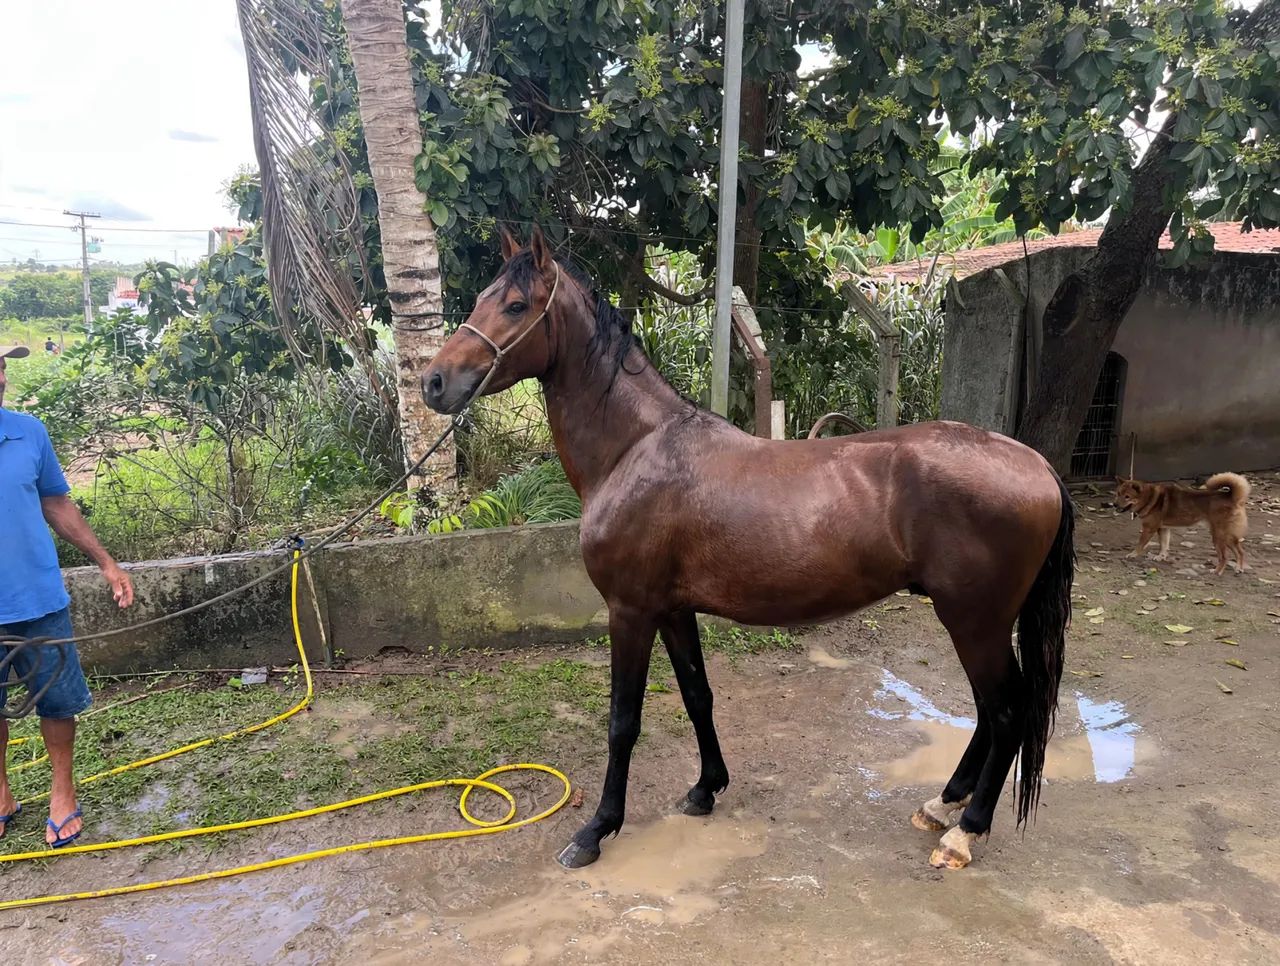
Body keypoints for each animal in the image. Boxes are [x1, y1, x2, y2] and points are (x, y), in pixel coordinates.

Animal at [423, 228, 1074, 872]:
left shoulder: (630, 611)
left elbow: (622, 722)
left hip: (974, 620)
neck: (636, 447)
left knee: (1007, 711)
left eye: (515, 305)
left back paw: (965, 830)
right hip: (977, 621)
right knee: (990, 711)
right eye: (482, 296)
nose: (434, 382)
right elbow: (697, 696)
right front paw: (706, 787)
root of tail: (1037, 464)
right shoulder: (673, 609)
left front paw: (596, 829)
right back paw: (942, 805)